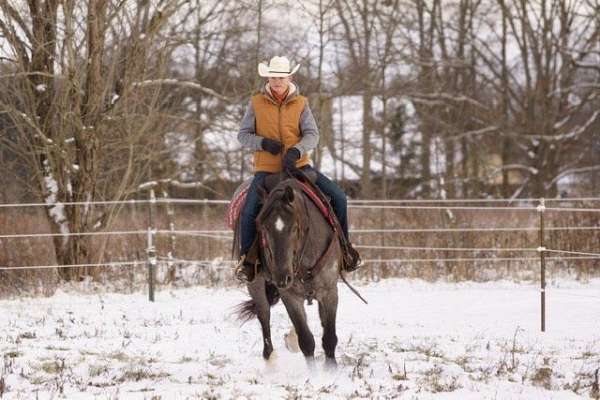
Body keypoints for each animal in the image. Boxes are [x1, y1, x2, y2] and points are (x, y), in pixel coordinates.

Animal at [236, 175, 342, 366]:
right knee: (264, 314)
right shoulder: (290, 296)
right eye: (263, 228)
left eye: (294, 228)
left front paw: (331, 370)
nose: (281, 277)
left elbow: (329, 337)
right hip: (255, 283)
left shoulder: (330, 291)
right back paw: (270, 359)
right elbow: (306, 341)